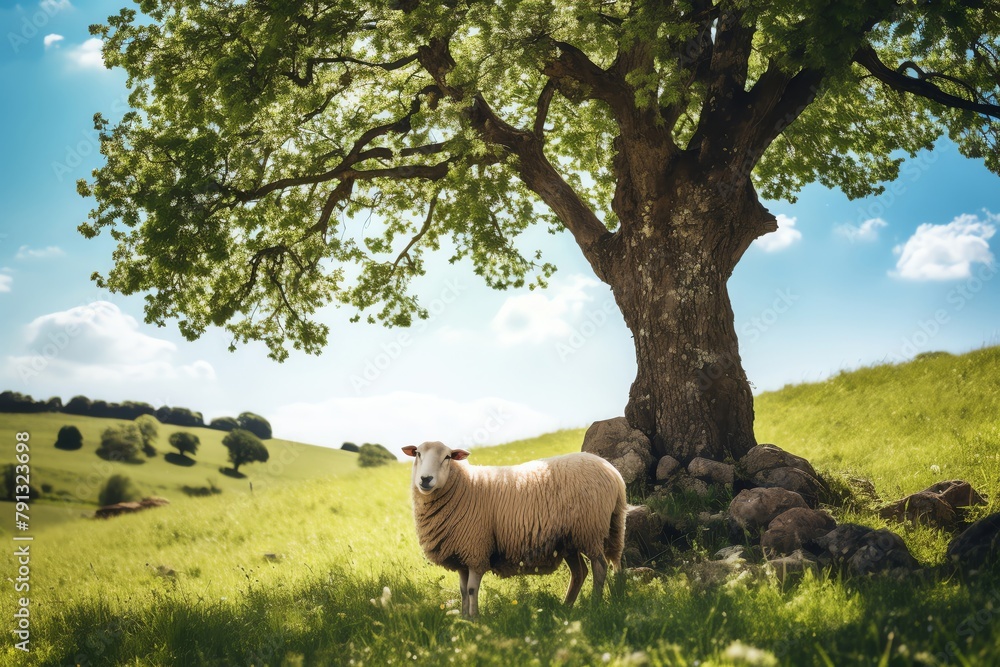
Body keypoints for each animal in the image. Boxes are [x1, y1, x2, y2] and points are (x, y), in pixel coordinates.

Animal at [401, 440, 626, 617]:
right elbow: (463, 591)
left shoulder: (476, 550)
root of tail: (613, 472)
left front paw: (475, 620)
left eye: (447, 456)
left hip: (591, 530)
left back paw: (593, 605)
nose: (425, 479)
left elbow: (472, 590)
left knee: (600, 567)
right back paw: (567, 606)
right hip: (570, 539)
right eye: (418, 453)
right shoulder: (463, 555)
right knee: (580, 572)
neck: (464, 486)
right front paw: (464, 619)